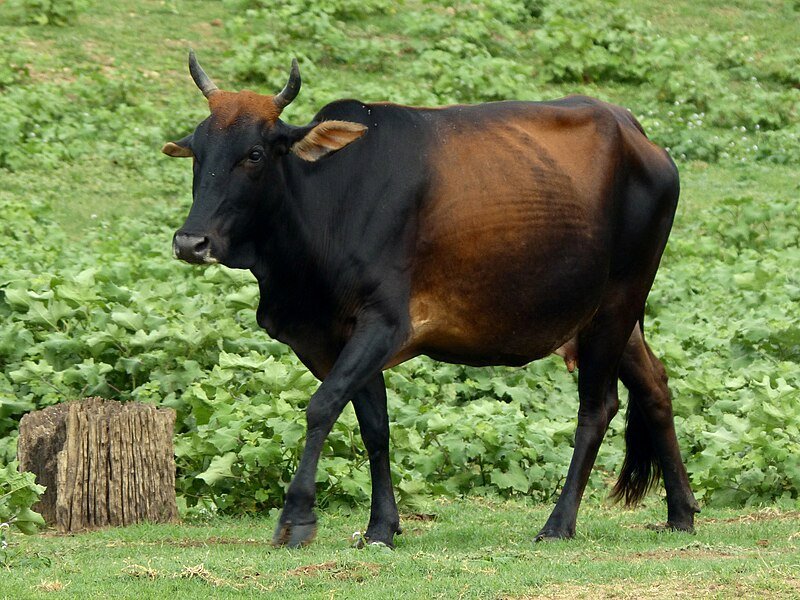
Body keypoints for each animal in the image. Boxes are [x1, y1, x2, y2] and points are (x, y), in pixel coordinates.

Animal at [163, 51, 700, 548]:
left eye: (254, 154)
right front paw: (381, 526)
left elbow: (322, 406)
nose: (191, 242)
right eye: (196, 151)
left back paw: (559, 523)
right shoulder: (336, 336)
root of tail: (638, 134)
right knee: (655, 385)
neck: (329, 203)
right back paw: (680, 513)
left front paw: (297, 517)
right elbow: (374, 427)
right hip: (609, 317)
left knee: (597, 407)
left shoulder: (384, 323)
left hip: (616, 304)